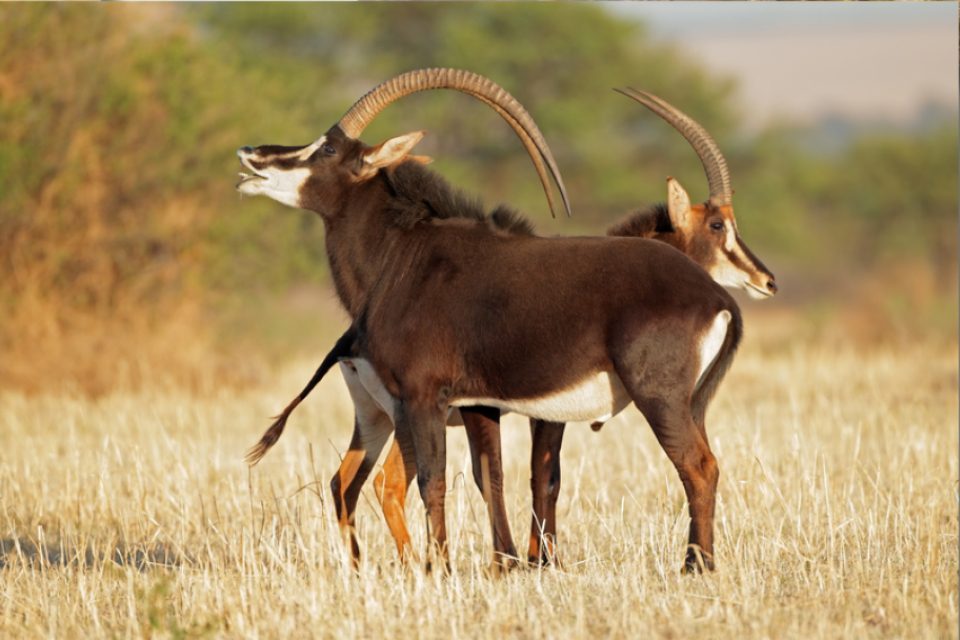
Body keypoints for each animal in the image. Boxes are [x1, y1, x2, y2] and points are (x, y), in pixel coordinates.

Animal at [238, 69, 776, 573]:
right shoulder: (473, 404)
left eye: (328, 148)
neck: (402, 256)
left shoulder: (428, 396)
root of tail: (715, 297)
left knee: (699, 467)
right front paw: (508, 563)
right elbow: (492, 475)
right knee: (350, 481)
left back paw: (695, 566)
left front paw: (450, 569)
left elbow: (447, 480)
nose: (250, 154)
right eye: (717, 225)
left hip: (658, 398)